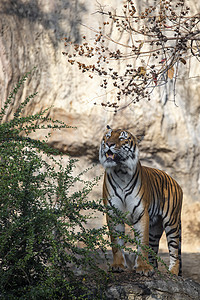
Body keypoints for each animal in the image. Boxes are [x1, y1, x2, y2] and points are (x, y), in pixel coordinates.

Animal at [99, 125, 183, 276]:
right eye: (108, 136)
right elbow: (116, 243)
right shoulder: (114, 213)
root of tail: (175, 182)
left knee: (174, 250)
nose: (109, 144)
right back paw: (154, 268)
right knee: (154, 253)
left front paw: (143, 268)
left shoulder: (141, 213)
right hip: (155, 229)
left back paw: (172, 272)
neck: (121, 172)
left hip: (171, 222)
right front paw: (118, 265)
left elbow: (142, 243)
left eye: (122, 138)